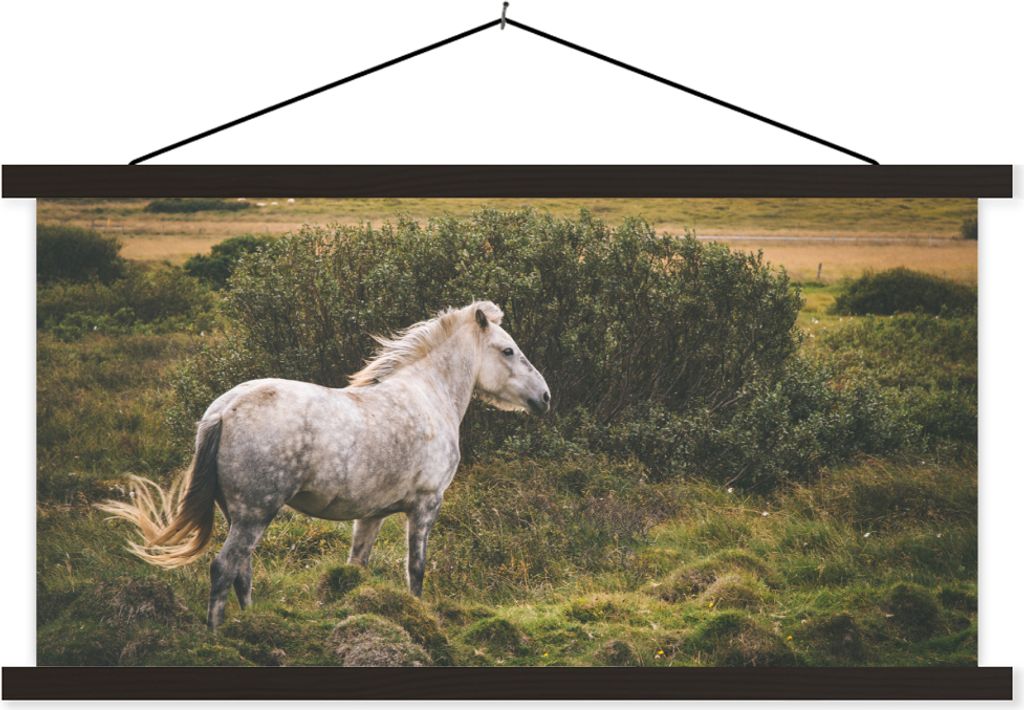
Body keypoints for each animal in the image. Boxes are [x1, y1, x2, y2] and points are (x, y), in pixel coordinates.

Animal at [97, 301, 550, 629]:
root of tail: (223, 411)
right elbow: (416, 569)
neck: (427, 395)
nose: (544, 397)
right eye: (508, 350)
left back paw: (252, 623)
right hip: (255, 514)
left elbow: (356, 568)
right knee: (225, 567)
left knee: (242, 569)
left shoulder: (372, 515)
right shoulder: (425, 505)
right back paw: (218, 634)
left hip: (240, 515)